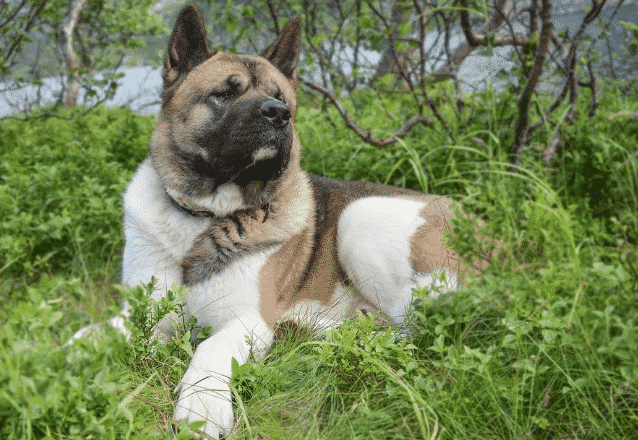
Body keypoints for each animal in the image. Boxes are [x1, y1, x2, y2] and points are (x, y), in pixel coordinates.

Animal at [101, 5, 476, 438]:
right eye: (224, 93)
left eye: (281, 99)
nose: (277, 115)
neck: (205, 212)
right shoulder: (140, 313)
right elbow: (89, 334)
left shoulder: (246, 321)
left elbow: (210, 347)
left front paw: (202, 405)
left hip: (361, 219)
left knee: (410, 333)